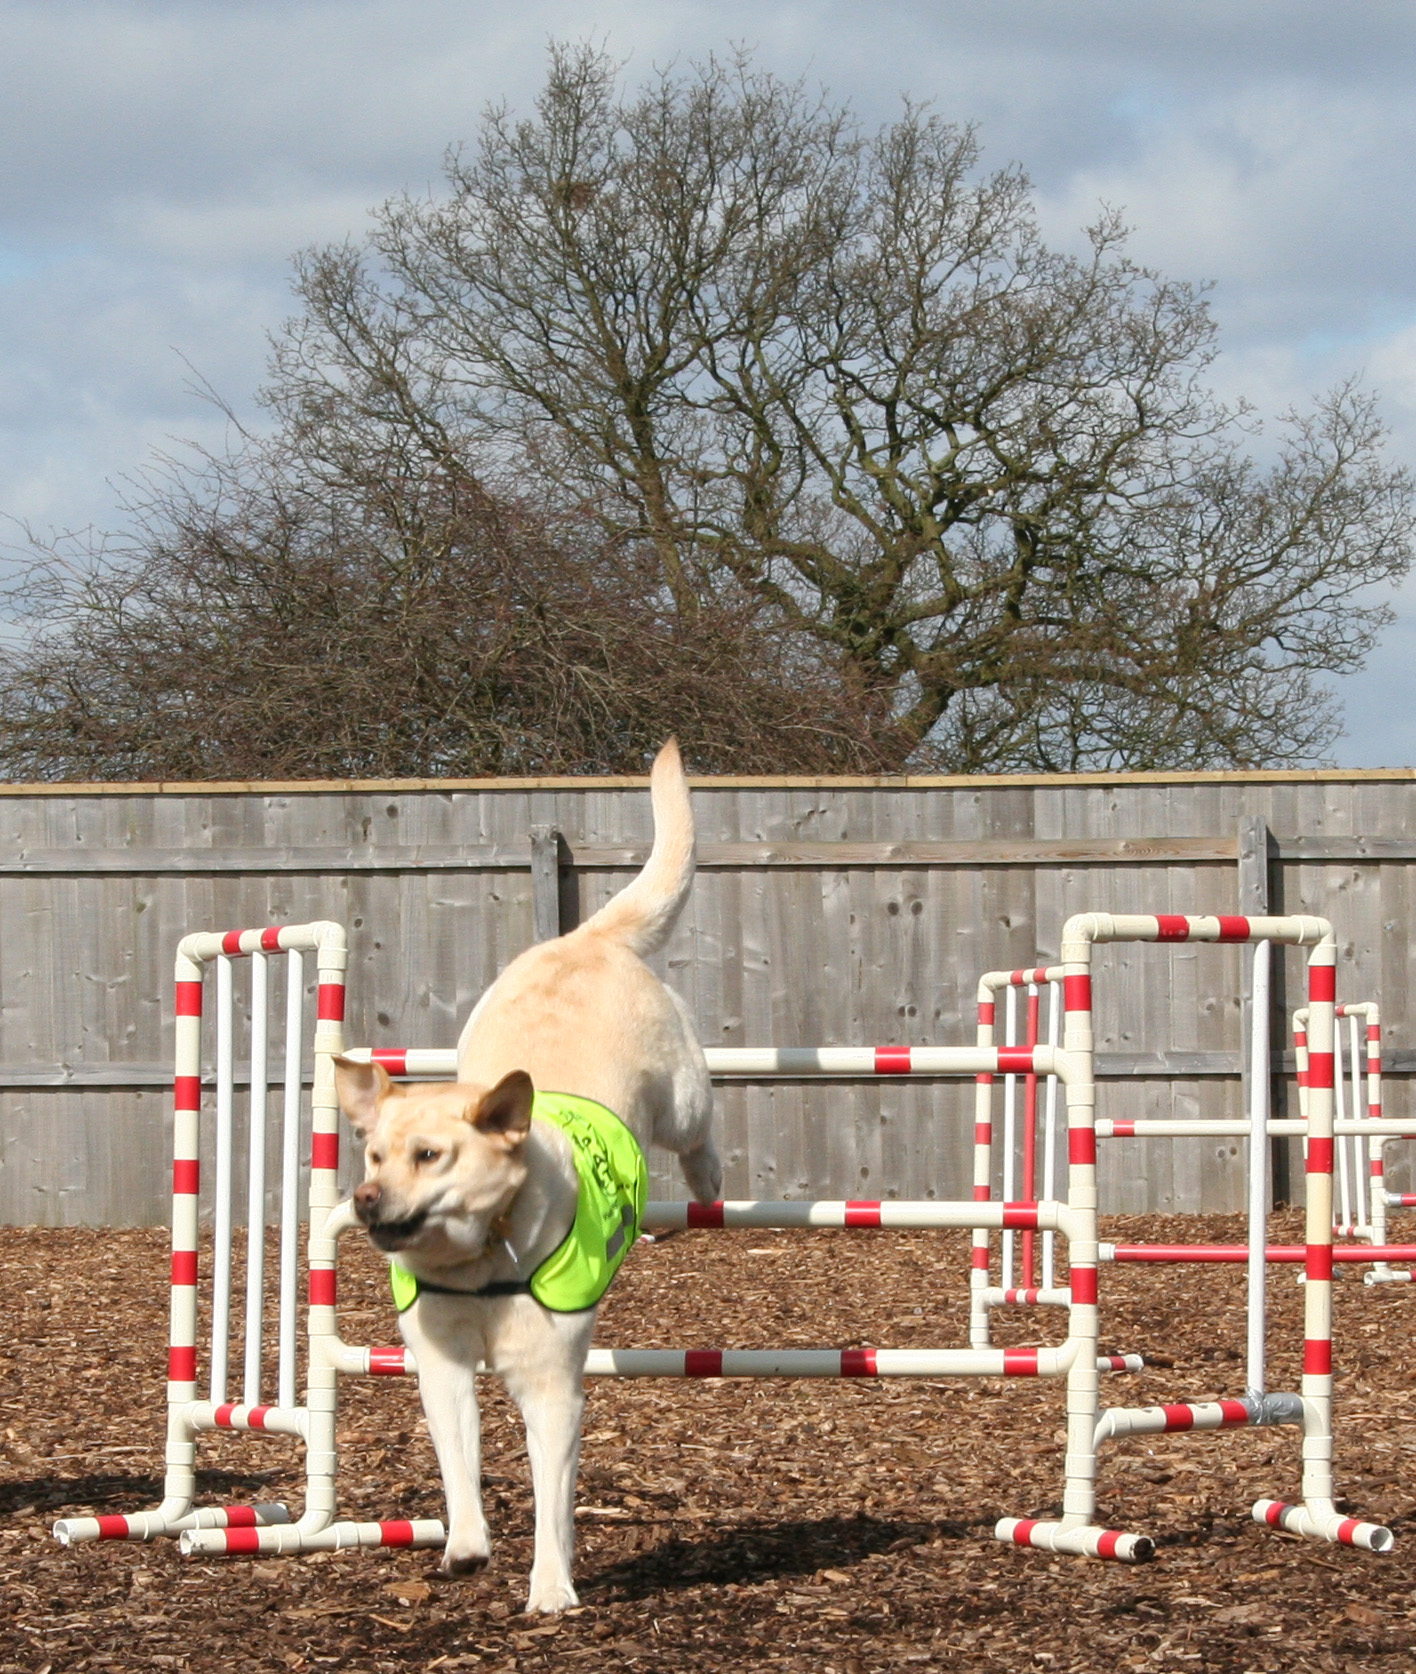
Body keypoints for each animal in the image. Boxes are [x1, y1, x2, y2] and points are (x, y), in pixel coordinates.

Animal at [334, 743, 719, 1607]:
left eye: (429, 1155)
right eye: (373, 1154)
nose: (365, 1200)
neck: (480, 1263)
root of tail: (586, 935)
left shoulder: (551, 1389)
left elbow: (551, 1501)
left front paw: (550, 1588)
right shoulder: (442, 1370)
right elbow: (459, 1469)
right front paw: (467, 1545)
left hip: (683, 1099)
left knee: (700, 1141)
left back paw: (708, 1189)